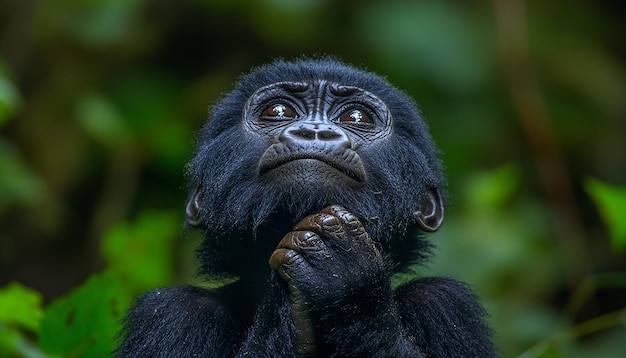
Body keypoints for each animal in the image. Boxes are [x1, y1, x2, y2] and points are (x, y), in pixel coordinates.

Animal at [116, 58, 492, 358]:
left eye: (356, 116)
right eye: (278, 112)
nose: (315, 131)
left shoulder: (446, 302)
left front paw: (345, 280)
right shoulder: (170, 312)